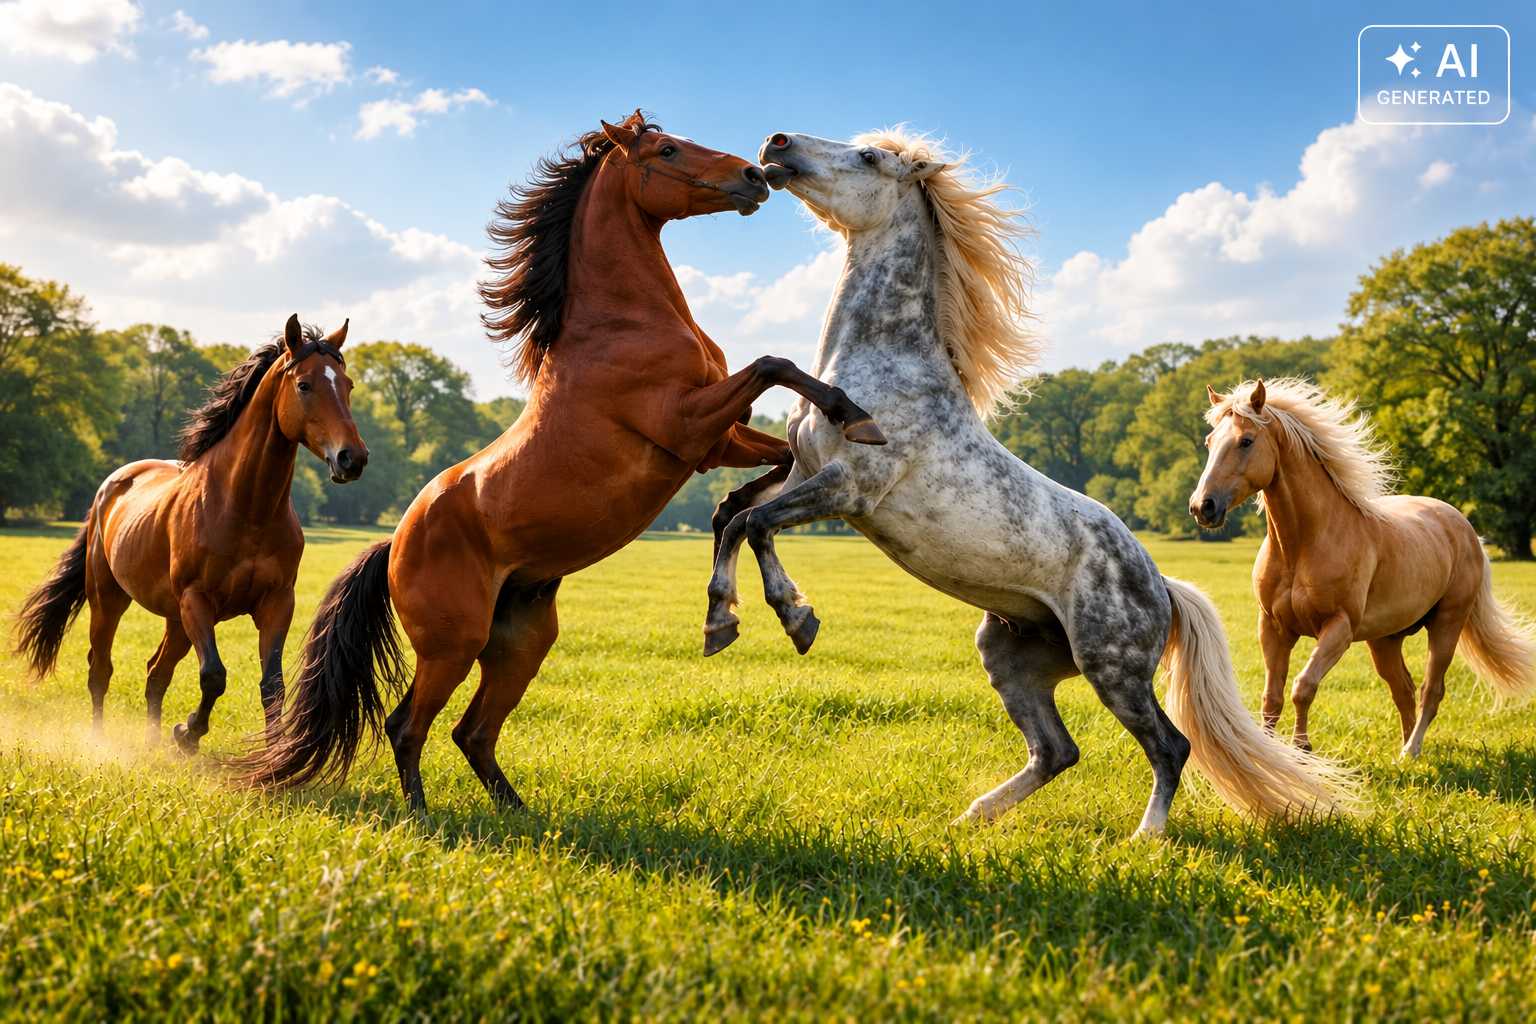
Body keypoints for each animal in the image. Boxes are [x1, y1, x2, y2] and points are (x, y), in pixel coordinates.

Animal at [14, 315, 367, 752]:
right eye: (304, 385)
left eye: (348, 385)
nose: (352, 458)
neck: (245, 508)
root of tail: (110, 487)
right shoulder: (197, 601)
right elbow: (214, 676)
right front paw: (187, 733)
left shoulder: (277, 603)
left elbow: (272, 684)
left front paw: (269, 757)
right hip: (110, 599)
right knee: (101, 668)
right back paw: (99, 741)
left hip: (174, 619)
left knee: (155, 672)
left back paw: (152, 742)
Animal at [239, 112, 886, 812]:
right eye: (666, 150)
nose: (753, 176)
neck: (620, 326)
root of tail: (394, 543)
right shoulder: (687, 426)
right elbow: (775, 364)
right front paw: (856, 416)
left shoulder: (715, 444)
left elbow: (764, 473)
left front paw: (741, 600)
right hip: (452, 645)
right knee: (407, 725)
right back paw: (424, 817)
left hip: (522, 642)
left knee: (473, 732)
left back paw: (518, 815)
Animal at [702, 128, 1358, 835]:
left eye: (869, 158)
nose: (776, 144)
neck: (880, 368)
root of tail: (1162, 585)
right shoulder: (803, 472)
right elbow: (731, 515)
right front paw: (720, 620)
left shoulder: (851, 489)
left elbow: (756, 523)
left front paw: (796, 618)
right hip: (1010, 653)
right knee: (1056, 750)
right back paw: (971, 818)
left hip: (1112, 667)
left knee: (1170, 745)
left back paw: (1145, 838)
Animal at [1190, 377, 1536, 757]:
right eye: (1210, 441)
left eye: (1246, 441)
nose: (1202, 507)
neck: (1303, 546)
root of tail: (1464, 528)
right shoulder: (1273, 627)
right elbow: (1272, 697)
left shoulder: (1338, 628)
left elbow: (1303, 687)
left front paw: (1302, 748)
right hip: (1385, 640)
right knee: (1403, 689)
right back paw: (1404, 750)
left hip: (1447, 624)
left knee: (1431, 690)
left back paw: (1410, 751)